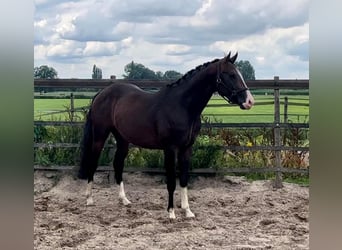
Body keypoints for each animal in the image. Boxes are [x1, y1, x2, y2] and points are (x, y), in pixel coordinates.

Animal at [77, 52, 254, 219]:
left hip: (122, 139)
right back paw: (89, 198)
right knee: (93, 162)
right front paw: (171, 212)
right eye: (230, 74)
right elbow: (171, 182)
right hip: (100, 136)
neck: (182, 106)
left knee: (118, 164)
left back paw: (124, 200)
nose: (249, 101)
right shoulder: (170, 149)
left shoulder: (186, 149)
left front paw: (187, 211)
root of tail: (101, 93)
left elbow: (183, 179)